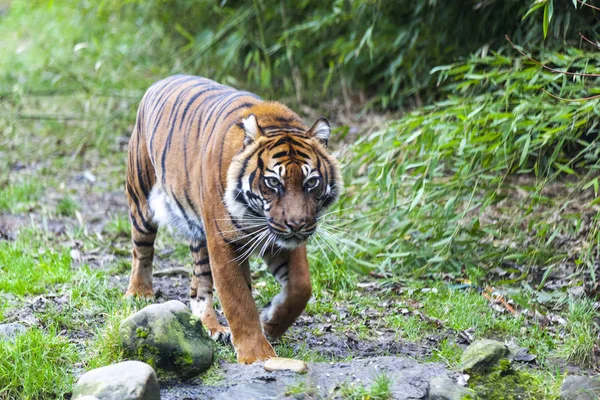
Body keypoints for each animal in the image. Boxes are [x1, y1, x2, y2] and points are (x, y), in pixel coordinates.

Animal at [125, 74, 342, 362]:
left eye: (311, 182)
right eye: (273, 182)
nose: (296, 225)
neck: (256, 215)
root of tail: (162, 80)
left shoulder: (278, 237)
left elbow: (300, 287)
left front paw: (271, 324)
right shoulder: (224, 240)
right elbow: (238, 299)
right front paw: (257, 355)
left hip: (199, 234)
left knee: (198, 287)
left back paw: (212, 327)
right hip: (141, 200)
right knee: (142, 250)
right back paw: (140, 293)